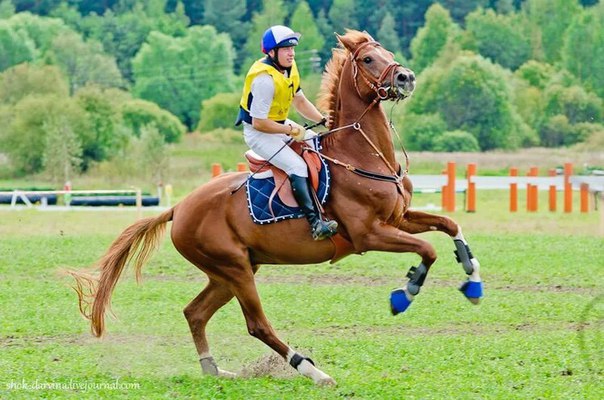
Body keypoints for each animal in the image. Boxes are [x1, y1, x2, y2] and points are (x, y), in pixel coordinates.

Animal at [66, 29, 482, 386]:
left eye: (388, 54)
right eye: (367, 59)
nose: (406, 78)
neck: (360, 154)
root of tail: (179, 208)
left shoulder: (399, 219)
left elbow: (449, 225)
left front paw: (472, 278)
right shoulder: (369, 234)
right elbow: (426, 250)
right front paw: (404, 294)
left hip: (230, 271)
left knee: (195, 312)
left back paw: (214, 369)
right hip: (235, 270)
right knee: (257, 325)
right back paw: (313, 371)